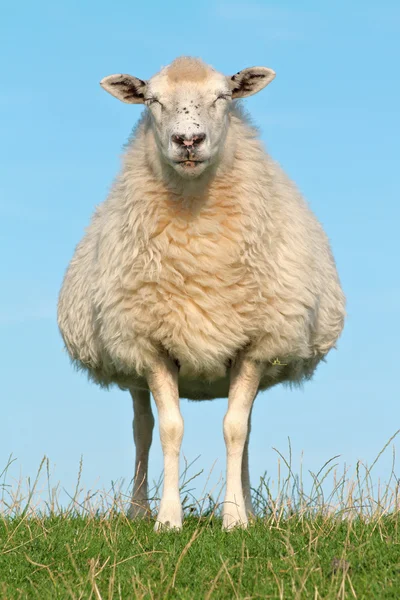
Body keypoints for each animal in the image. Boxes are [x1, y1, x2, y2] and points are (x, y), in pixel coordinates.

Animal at [57, 56, 346, 532]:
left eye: (224, 96)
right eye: (152, 100)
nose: (188, 140)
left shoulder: (255, 347)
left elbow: (235, 429)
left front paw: (235, 518)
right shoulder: (151, 346)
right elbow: (170, 429)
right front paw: (168, 519)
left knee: (242, 426)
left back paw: (247, 507)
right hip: (130, 363)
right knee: (142, 429)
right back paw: (138, 510)